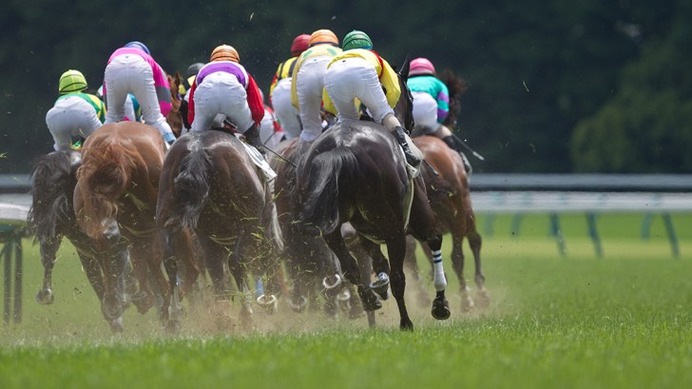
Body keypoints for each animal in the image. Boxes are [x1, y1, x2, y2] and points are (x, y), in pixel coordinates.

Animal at [158, 129, 282, 332]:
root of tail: (197, 149)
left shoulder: (208, 239)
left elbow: (216, 272)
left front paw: (222, 317)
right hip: (247, 224)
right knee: (236, 262)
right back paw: (247, 313)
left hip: (165, 219)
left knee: (170, 260)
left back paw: (174, 316)